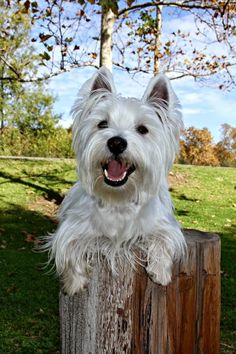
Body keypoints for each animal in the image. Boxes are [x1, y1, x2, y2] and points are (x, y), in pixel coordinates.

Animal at [44, 68, 186, 294]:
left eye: (142, 129)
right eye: (102, 124)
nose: (116, 142)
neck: (118, 199)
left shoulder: (163, 224)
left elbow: (164, 238)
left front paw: (161, 272)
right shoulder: (73, 227)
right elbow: (71, 247)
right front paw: (74, 283)